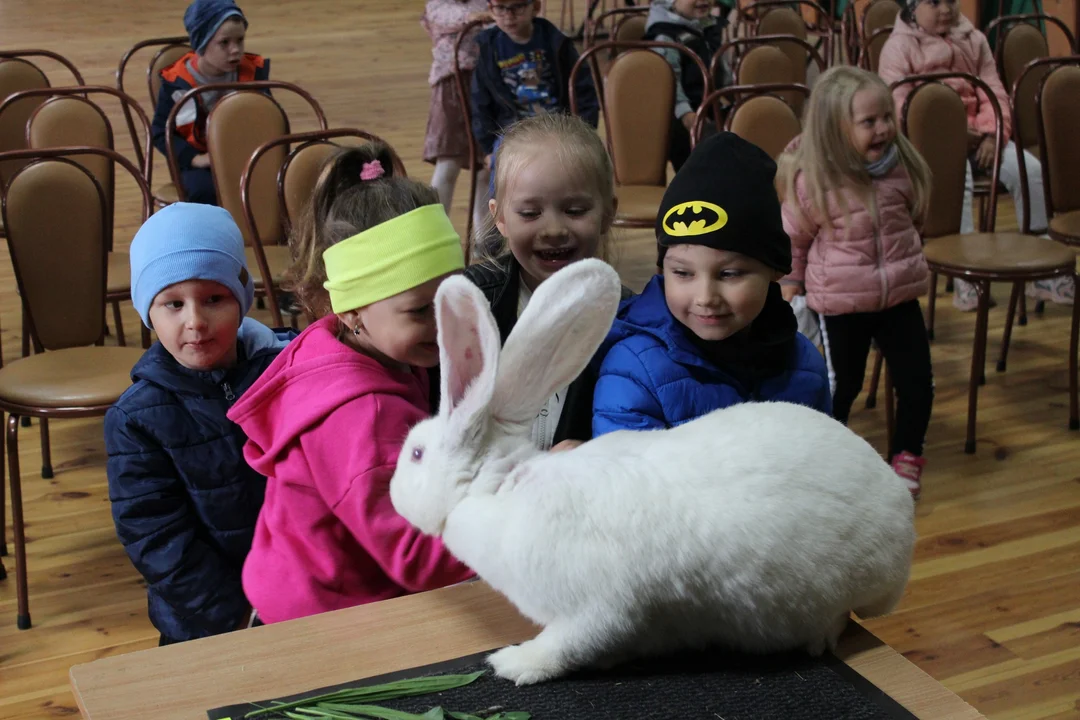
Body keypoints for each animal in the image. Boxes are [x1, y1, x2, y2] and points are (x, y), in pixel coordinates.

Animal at [388, 259, 911, 686]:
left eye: (415, 454)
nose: (391, 492)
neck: (499, 486)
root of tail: (900, 508)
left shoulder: (600, 609)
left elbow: (566, 645)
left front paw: (514, 663)